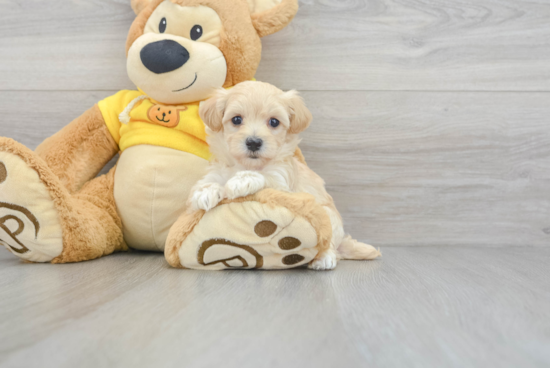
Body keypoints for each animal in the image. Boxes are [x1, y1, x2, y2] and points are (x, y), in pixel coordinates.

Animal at [189, 81, 380, 270]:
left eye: (274, 122)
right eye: (236, 119)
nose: (253, 142)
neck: (247, 164)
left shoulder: (283, 184)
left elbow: (265, 177)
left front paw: (243, 180)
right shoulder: (218, 171)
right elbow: (210, 181)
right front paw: (205, 192)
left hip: (329, 219)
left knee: (328, 243)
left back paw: (324, 259)